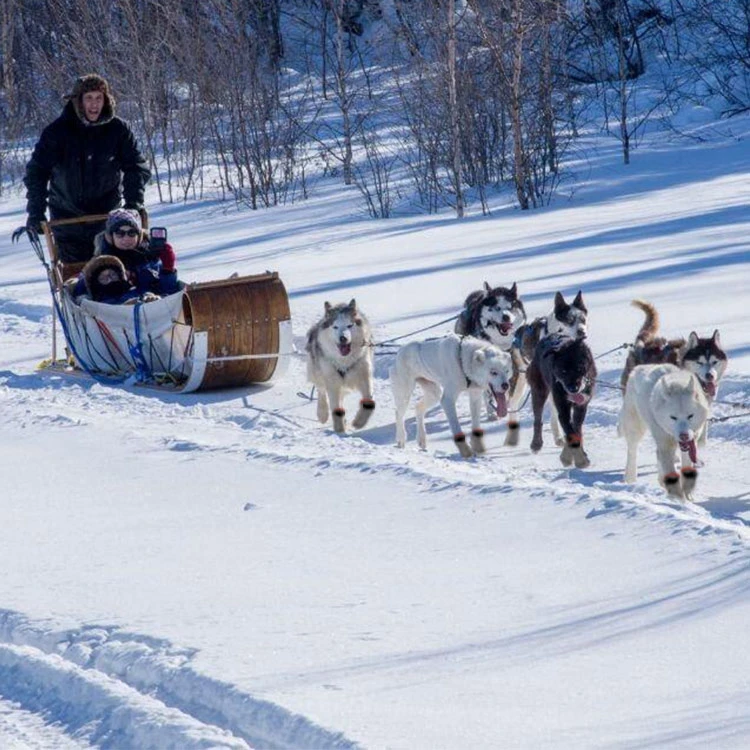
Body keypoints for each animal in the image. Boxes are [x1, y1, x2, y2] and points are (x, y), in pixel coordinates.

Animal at [306, 302, 376, 434]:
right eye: (335, 327)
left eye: (349, 325)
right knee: (321, 391)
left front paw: (359, 422)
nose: (343, 338)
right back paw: (322, 413)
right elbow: (336, 408)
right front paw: (340, 429)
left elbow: (368, 403)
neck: (344, 362)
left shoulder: (364, 376)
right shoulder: (333, 382)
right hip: (318, 374)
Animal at [528, 336, 600, 470]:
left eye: (579, 368)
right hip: (539, 391)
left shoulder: (581, 408)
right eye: (563, 371)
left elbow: (576, 431)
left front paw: (576, 455)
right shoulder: (563, 409)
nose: (573, 389)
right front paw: (579, 459)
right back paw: (536, 444)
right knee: (538, 419)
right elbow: (571, 432)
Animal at [624, 364, 712, 500]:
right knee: (632, 452)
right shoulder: (666, 444)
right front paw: (678, 499)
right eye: (673, 417)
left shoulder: (690, 444)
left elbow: (686, 468)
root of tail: (638, 368)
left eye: (690, 416)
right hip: (636, 428)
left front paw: (688, 497)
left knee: (657, 455)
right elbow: (671, 472)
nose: (684, 436)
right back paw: (631, 478)